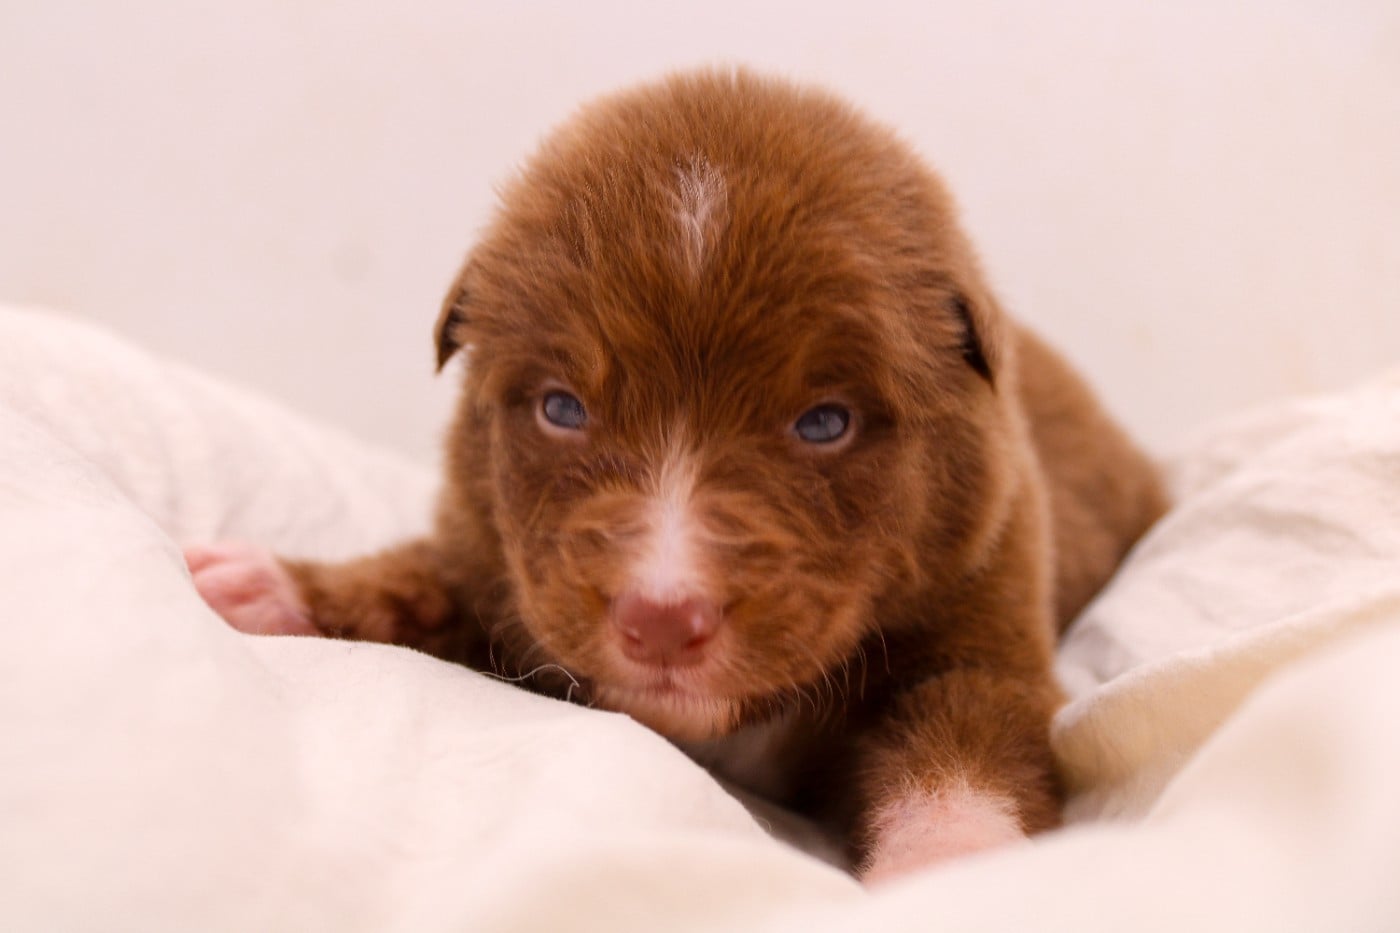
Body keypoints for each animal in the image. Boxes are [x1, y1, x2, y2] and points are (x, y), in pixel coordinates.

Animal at [187, 68, 1167, 880]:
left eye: (824, 422)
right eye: (562, 408)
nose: (660, 617)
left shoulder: (982, 617)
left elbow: (964, 745)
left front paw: (951, 867)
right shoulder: (502, 566)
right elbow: (420, 585)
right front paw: (263, 586)